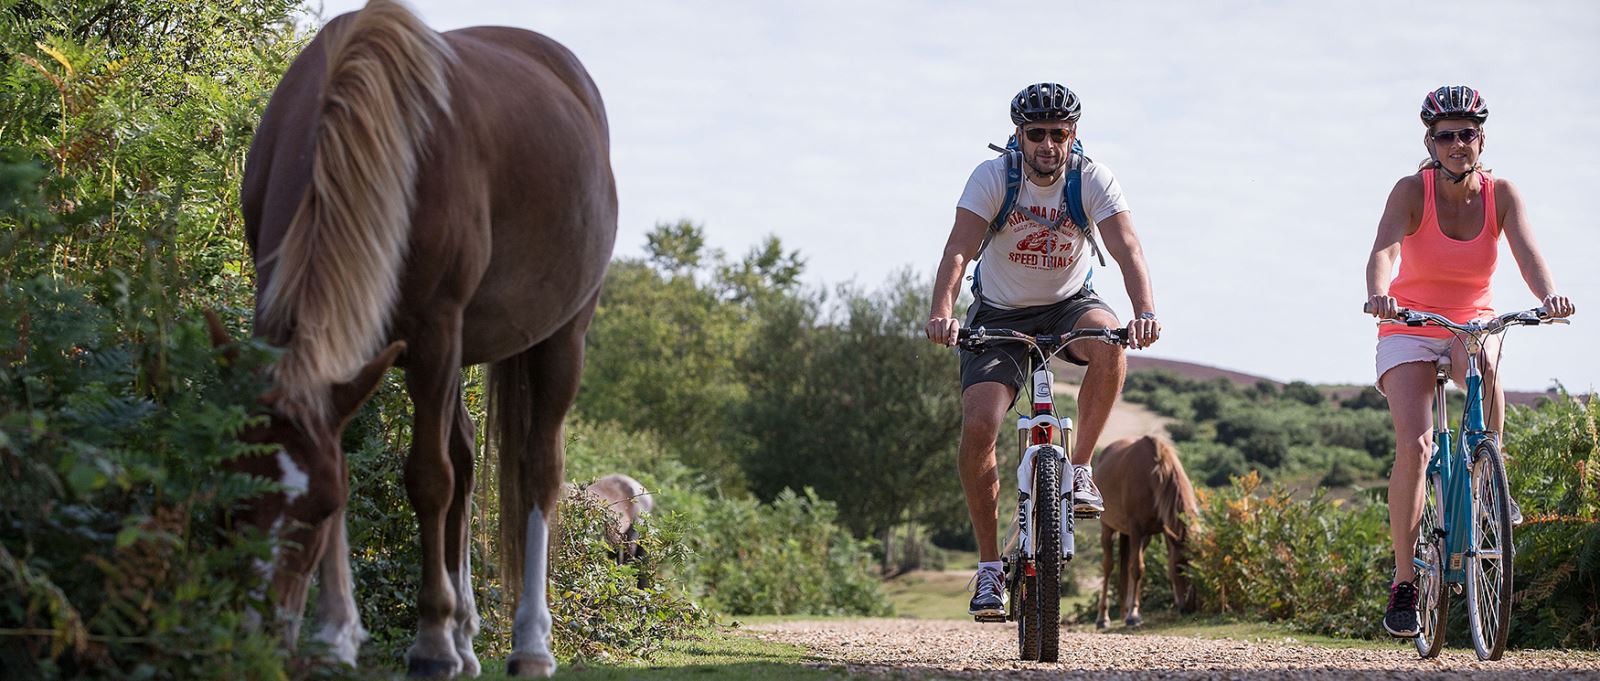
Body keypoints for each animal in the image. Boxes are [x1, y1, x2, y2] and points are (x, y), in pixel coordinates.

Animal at [233, 1, 614, 674]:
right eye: (238, 498)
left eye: (317, 509)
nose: (261, 640)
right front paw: (336, 635)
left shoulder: (434, 331)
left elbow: (429, 479)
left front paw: (430, 640)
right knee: (465, 456)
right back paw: (466, 637)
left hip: (561, 337)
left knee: (538, 469)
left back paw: (528, 643)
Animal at [1094, 434, 1196, 626]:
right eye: (1178, 568)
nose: (1188, 608)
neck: (1153, 477)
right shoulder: (1136, 529)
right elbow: (1137, 569)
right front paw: (1133, 615)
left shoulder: (1162, 532)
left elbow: (1135, 568)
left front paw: (1133, 611)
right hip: (1108, 529)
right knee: (1108, 567)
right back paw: (1103, 617)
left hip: (1144, 537)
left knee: (1128, 565)